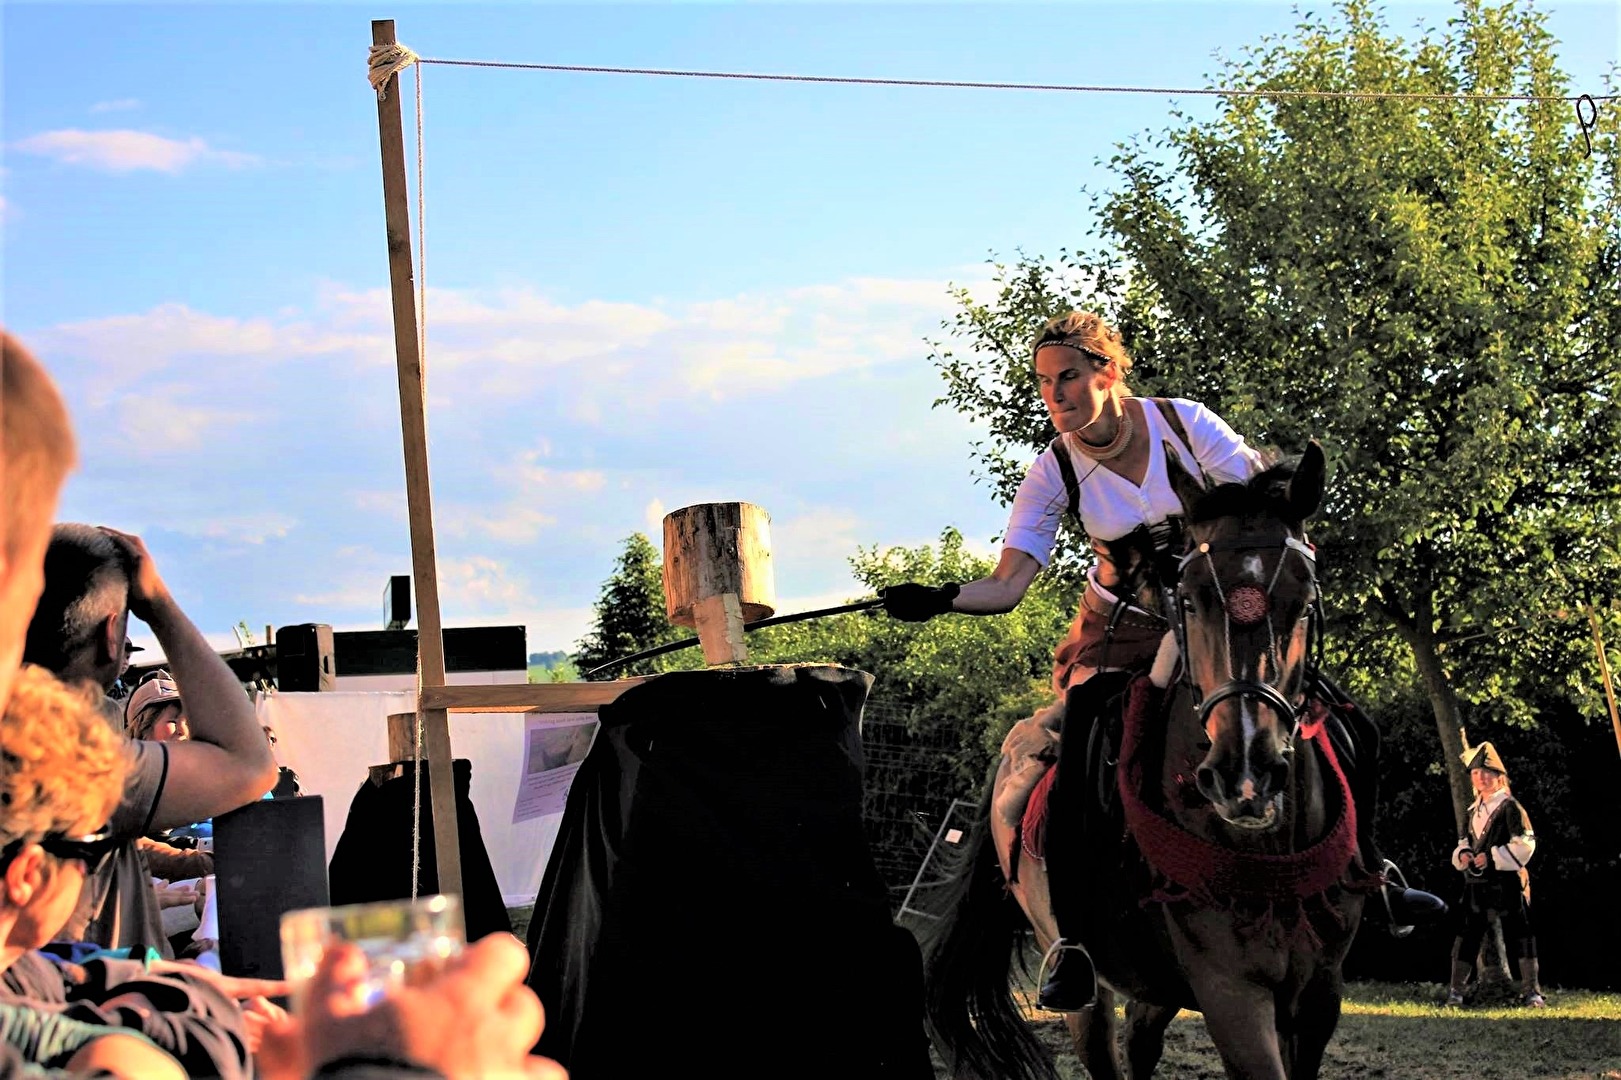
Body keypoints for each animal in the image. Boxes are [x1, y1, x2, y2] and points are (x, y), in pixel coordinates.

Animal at [920, 441, 1361, 1076]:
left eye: (1303, 603)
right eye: (1190, 600)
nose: (1244, 776)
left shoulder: (1318, 995)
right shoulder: (1232, 992)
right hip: (1080, 975)